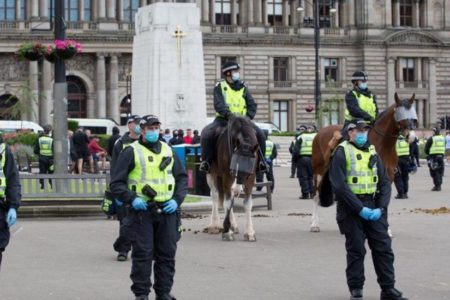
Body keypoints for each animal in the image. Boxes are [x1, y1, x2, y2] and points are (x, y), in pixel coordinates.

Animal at [310, 94, 418, 232]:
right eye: (401, 117)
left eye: (413, 117)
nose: (412, 137)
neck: (383, 144)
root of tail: (320, 132)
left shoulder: (387, 176)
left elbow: (383, 200)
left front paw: (385, 228)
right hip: (318, 172)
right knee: (316, 195)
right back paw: (314, 224)